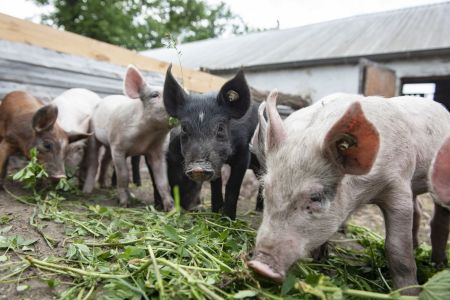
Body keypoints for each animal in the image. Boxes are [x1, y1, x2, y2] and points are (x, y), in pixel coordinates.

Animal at [81, 65, 173, 211]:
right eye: (154, 95)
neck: (147, 137)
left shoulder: (159, 151)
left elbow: (163, 181)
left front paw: (172, 209)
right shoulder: (118, 147)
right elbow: (123, 176)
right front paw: (125, 204)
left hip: (109, 144)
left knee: (105, 160)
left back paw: (104, 186)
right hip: (93, 134)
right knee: (94, 161)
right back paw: (87, 192)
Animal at [248, 91, 450, 292]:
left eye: (315, 197)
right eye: (267, 190)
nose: (259, 265)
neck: (365, 194)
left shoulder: (398, 184)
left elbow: (397, 249)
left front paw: (408, 293)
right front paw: (320, 257)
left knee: (437, 219)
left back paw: (437, 263)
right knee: (418, 211)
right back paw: (417, 248)